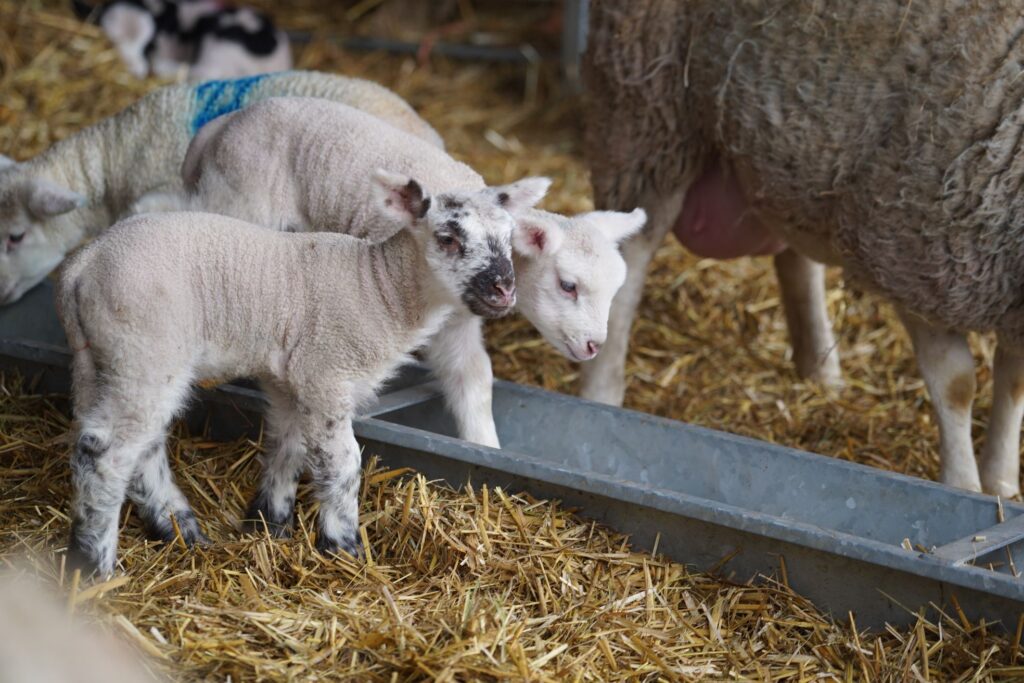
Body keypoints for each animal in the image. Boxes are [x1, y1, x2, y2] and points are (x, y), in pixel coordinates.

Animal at [57, 168, 549, 576]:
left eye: (509, 237)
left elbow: (289, 446)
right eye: (447, 238)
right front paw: (344, 545)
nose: (504, 290)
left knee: (130, 443)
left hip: (101, 359)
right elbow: (344, 463)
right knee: (106, 454)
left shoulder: (291, 377)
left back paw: (178, 529)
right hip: (146, 347)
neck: (380, 290)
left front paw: (270, 522)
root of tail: (84, 265)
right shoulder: (326, 372)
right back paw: (96, 566)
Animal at [155, 97, 645, 466]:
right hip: (237, 198)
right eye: (568, 285)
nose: (594, 346)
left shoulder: (458, 322)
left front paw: (486, 448)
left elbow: (474, 379)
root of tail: (223, 125)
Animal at [582, 0, 1024, 496]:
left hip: (795, 148)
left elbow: (1013, 384)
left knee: (795, 257)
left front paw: (1003, 484)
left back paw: (821, 368)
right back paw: (601, 394)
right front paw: (963, 486)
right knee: (629, 262)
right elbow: (957, 384)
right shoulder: (908, 254)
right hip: (649, 110)